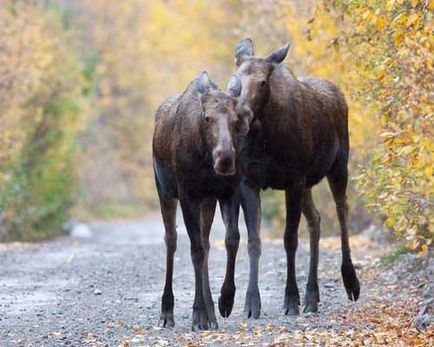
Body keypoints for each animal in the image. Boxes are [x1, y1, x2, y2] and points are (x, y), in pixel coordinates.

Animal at [153, 70, 249, 332]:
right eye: (207, 118)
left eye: (236, 119)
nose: (225, 159)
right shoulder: (188, 194)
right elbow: (194, 250)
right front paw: (197, 315)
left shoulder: (228, 191)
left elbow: (231, 239)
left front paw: (226, 300)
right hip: (164, 191)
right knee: (171, 240)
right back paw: (167, 312)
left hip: (208, 201)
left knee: (206, 244)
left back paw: (212, 315)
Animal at [219, 38, 362, 320]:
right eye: (236, 77)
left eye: (264, 82)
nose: (240, 116)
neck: (266, 135)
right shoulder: (250, 182)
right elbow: (254, 241)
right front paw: (251, 303)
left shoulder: (293, 180)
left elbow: (290, 240)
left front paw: (291, 300)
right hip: (307, 183)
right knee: (316, 220)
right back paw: (312, 296)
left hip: (338, 166)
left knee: (342, 212)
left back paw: (350, 282)